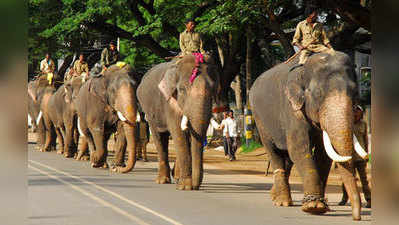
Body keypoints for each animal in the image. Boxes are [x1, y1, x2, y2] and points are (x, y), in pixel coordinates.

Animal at [137, 54, 219, 190]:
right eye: (182, 90)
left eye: (213, 89)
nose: (196, 186)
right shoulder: (169, 103)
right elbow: (178, 133)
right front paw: (185, 186)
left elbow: (189, 136)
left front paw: (183, 183)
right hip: (149, 112)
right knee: (159, 137)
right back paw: (162, 180)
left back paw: (175, 177)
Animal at [250, 51, 368, 220]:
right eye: (318, 94)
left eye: (356, 93)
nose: (356, 217)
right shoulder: (292, 109)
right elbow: (299, 148)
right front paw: (313, 207)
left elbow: (323, 154)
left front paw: (321, 206)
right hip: (259, 119)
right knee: (274, 152)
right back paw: (282, 202)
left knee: (287, 158)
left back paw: (275, 195)